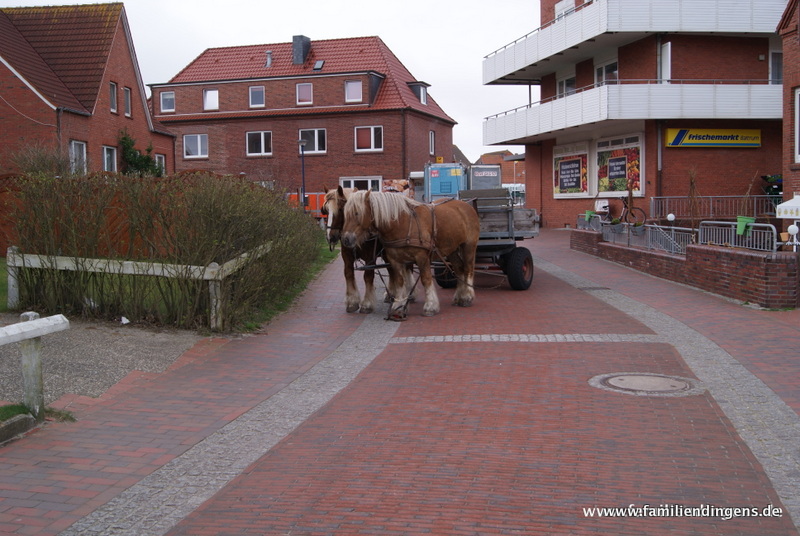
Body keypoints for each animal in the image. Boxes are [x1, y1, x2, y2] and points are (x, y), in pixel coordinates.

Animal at [340, 191, 478, 320]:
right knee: (459, 269)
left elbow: (426, 280)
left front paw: (430, 306)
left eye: (357, 213)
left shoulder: (422, 258)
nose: (346, 239)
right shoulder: (395, 260)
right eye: (345, 214)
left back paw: (467, 296)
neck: (402, 223)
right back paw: (459, 296)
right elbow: (399, 281)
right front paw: (398, 306)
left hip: (469, 246)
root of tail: (466, 205)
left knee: (468, 269)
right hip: (451, 249)